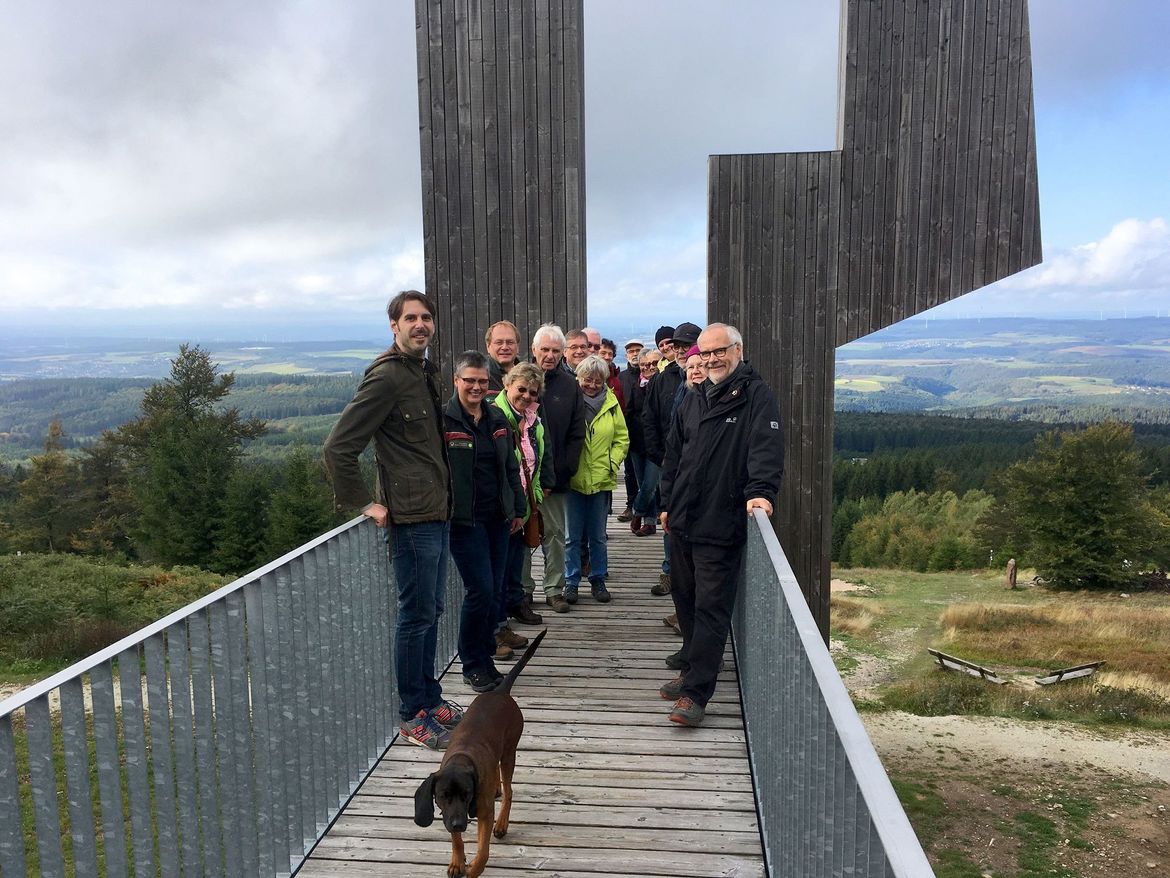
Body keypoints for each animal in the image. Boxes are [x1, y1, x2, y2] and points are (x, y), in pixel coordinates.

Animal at [414, 627, 545, 875]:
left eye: (467, 794)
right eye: (443, 796)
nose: (459, 824)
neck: (461, 760)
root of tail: (500, 692)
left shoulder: (483, 813)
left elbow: (483, 852)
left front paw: (473, 869)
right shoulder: (450, 813)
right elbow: (456, 840)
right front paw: (457, 861)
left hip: (509, 752)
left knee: (509, 790)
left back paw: (502, 822)